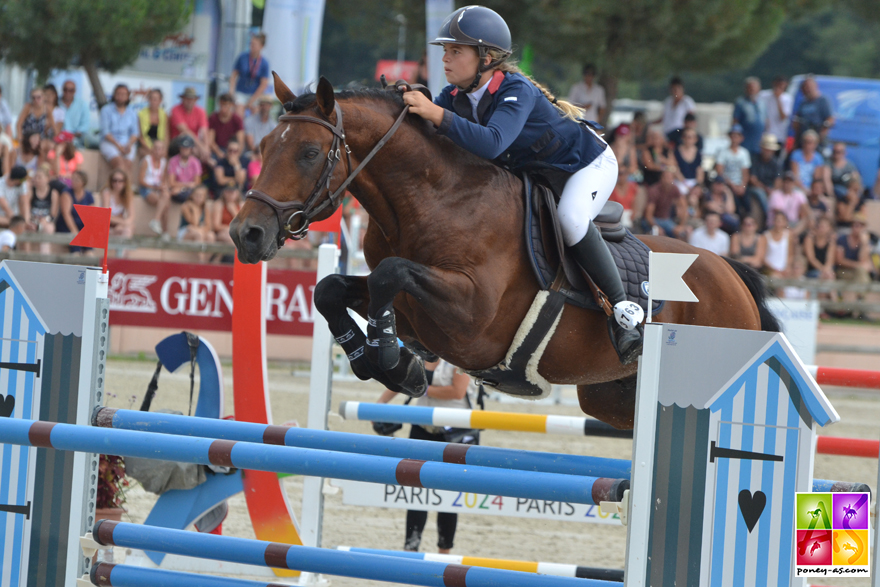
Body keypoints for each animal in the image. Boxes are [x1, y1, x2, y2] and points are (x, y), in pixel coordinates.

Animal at [230, 76, 780, 430]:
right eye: (261, 147)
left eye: (308, 153)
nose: (246, 235)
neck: (434, 198)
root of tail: (733, 276)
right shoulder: (408, 304)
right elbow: (331, 289)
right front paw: (384, 362)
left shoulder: (472, 318)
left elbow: (391, 273)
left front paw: (393, 360)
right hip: (609, 396)